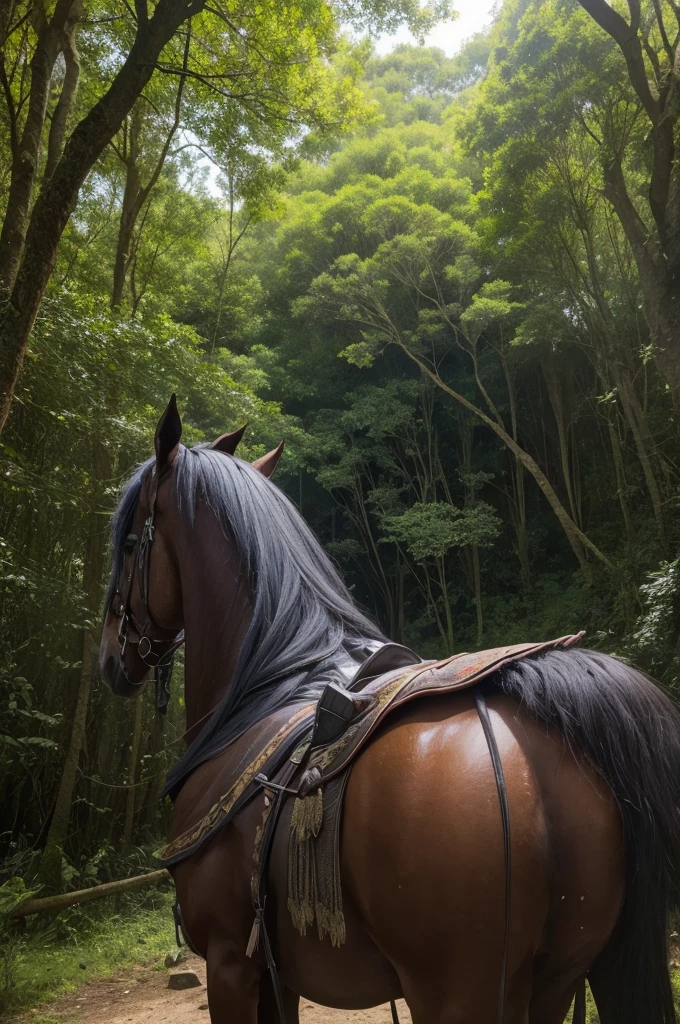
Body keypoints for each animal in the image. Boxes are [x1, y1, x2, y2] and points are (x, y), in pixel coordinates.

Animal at [98, 397, 680, 1024]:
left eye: (128, 545)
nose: (108, 656)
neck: (263, 693)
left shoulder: (230, 964)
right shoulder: (276, 976)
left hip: (460, 993)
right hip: (559, 981)